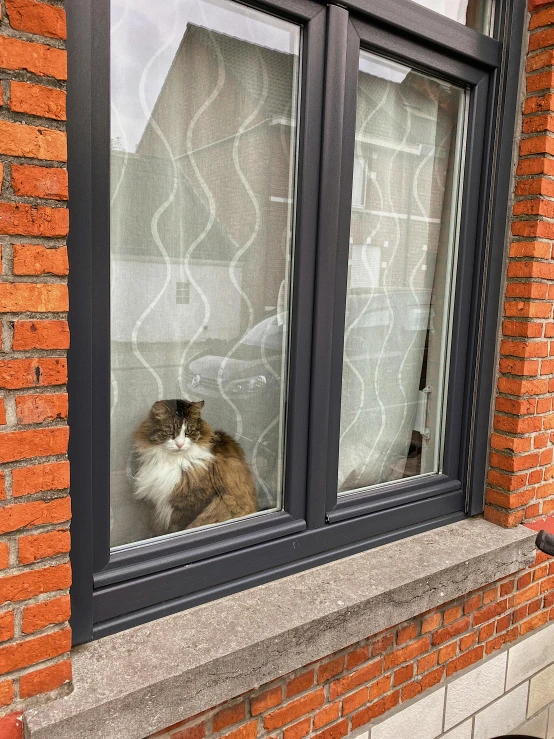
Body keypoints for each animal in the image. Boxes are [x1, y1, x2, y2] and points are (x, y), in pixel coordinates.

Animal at [133, 402, 258, 536]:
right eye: (170, 432)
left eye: (188, 431)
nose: (180, 444)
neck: (175, 461)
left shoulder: (193, 504)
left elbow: (181, 527)